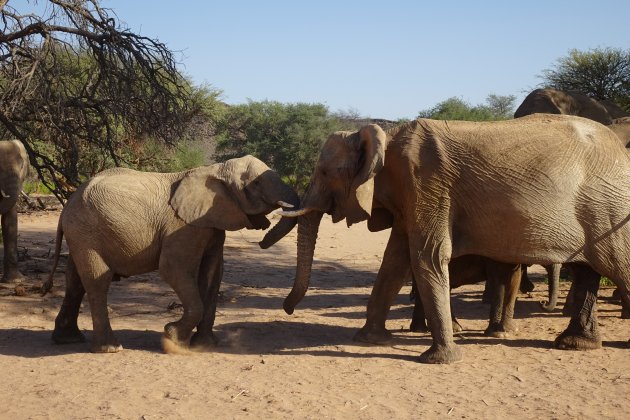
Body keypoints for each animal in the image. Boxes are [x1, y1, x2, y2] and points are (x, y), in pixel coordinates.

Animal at [43, 156, 300, 352]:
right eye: (254, 184)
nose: (262, 238)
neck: (215, 169)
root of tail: (67, 205)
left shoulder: (210, 224)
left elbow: (212, 274)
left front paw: (205, 345)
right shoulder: (184, 226)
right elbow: (173, 269)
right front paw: (172, 337)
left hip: (80, 233)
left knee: (75, 281)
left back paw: (68, 340)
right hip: (87, 232)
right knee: (98, 280)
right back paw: (111, 348)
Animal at [278, 115, 630, 364]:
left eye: (325, 173)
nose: (288, 310)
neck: (386, 137)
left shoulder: (427, 184)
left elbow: (427, 257)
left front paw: (440, 359)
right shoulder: (411, 196)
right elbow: (394, 261)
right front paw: (369, 339)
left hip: (609, 207)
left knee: (617, 267)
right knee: (588, 271)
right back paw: (576, 344)